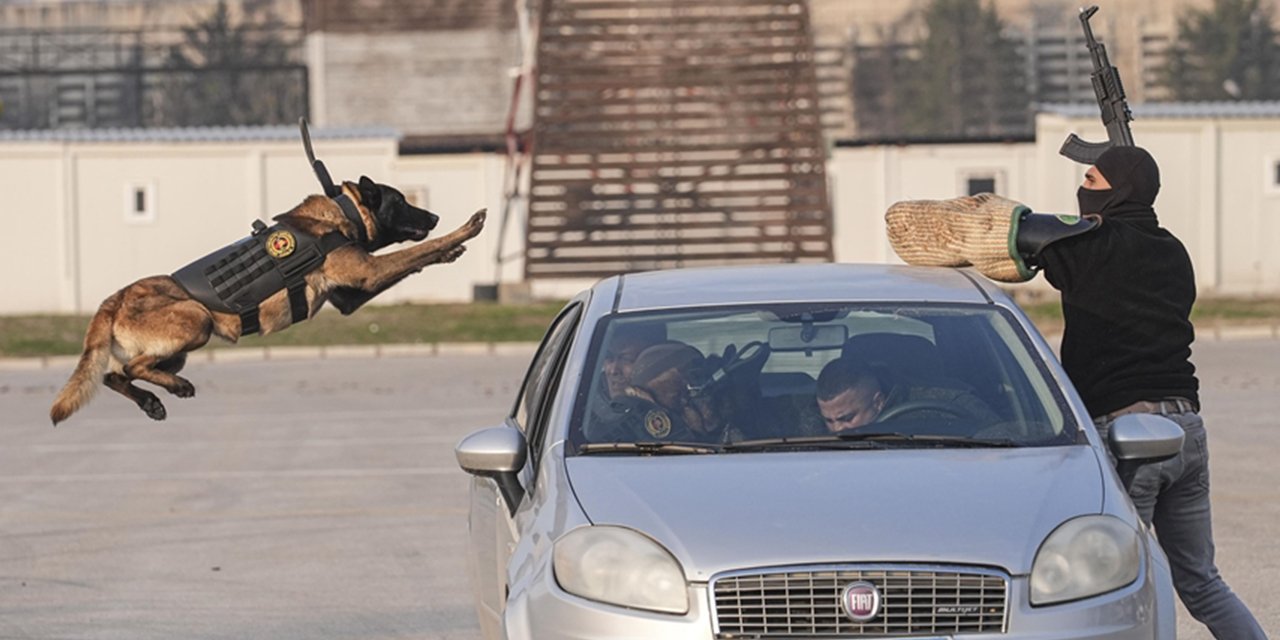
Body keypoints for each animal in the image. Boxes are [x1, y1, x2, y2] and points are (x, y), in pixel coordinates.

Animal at [49, 131, 483, 422]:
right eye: (401, 202)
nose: (434, 216)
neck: (340, 213)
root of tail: (113, 300)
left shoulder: (352, 295)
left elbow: (415, 259)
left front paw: (449, 249)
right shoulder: (369, 273)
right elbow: (413, 253)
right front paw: (463, 231)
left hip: (177, 350)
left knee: (114, 375)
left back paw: (153, 402)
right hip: (196, 319)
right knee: (132, 369)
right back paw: (176, 390)